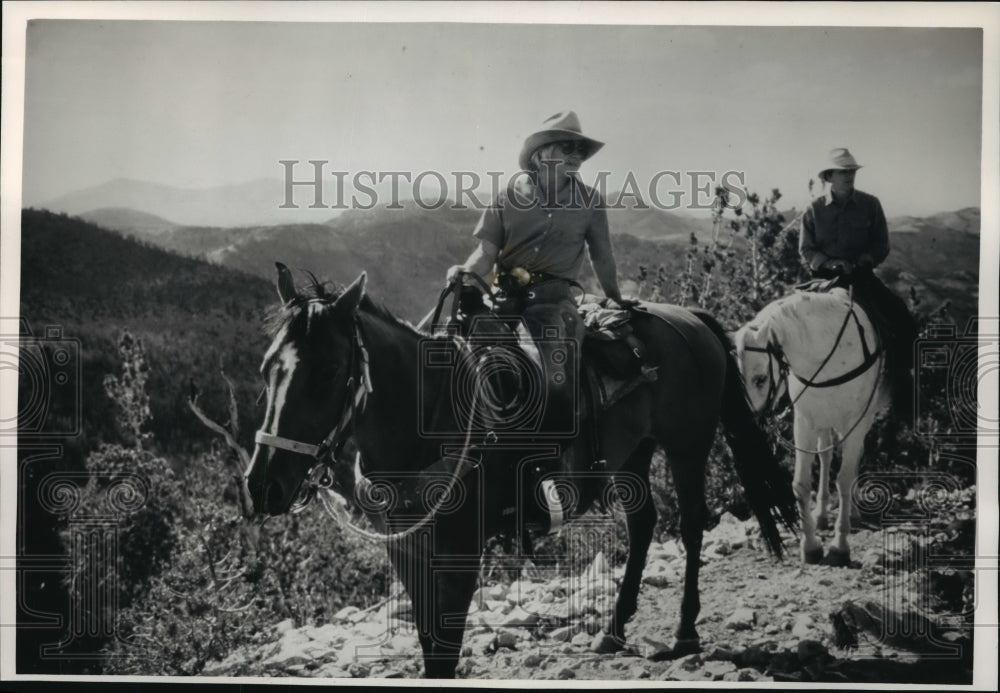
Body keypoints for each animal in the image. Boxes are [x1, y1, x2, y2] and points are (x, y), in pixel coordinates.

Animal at [244, 264, 796, 676]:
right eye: (267, 368)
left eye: (327, 373)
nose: (262, 484)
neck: (432, 420)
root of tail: (691, 320)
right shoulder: (408, 549)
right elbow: (427, 643)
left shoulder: (460, 553)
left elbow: (444, 650)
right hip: (633, 456)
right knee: (642, 525)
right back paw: (614, 630)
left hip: (687, 446)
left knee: (692, 522)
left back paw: (684, 632)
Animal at [732, 290, 888, 564]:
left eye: (760, 379)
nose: (744, 427)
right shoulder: (804, 422)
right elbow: (801, 483)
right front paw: (811, 546)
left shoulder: (855, 422)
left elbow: (844, 478)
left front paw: (839, 547)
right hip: (823, 422)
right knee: (826, 456)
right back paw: (822, 514)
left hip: (860, 422)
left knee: (853, 458)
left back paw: (852, 513)